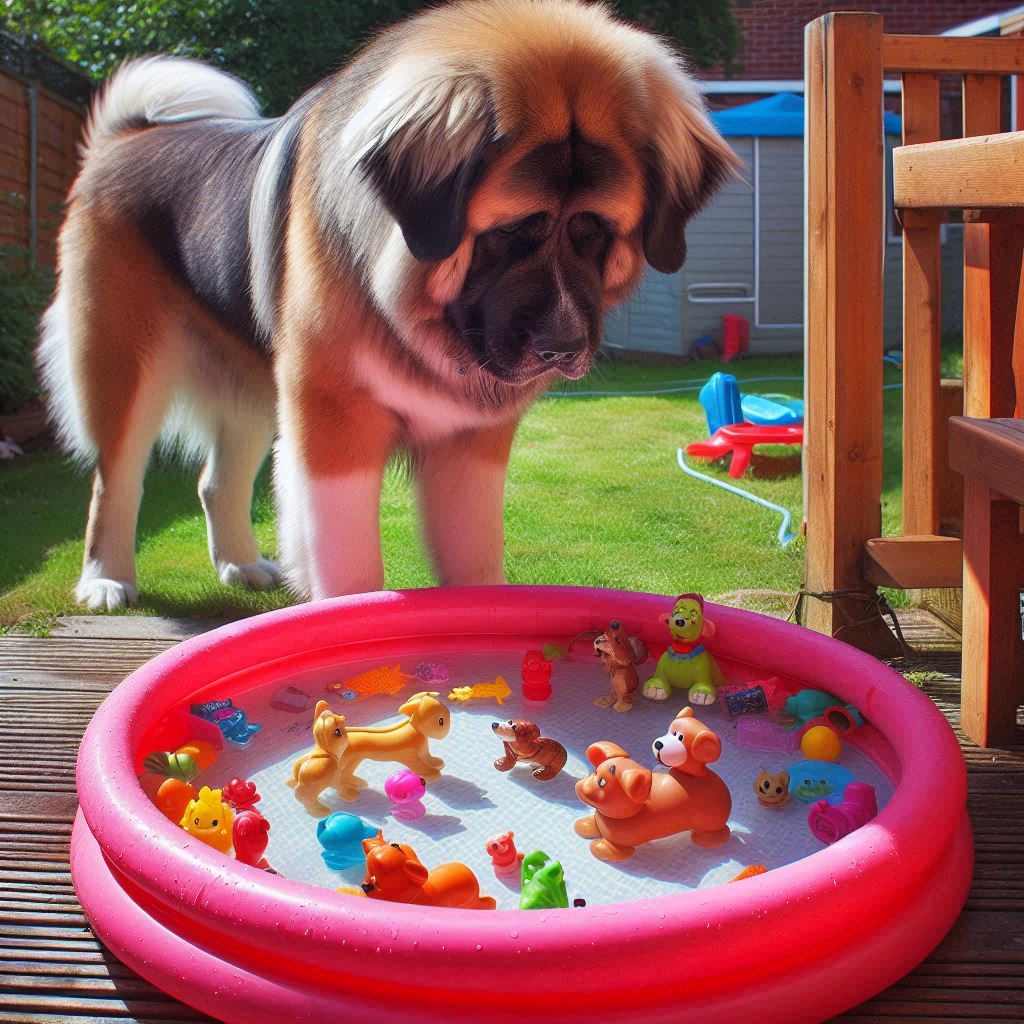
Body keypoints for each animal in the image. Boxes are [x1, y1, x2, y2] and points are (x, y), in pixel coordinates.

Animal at [39, 0, 741, 606]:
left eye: (594, 229)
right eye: (512, 231)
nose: (562, 347)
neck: (412, 317)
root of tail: (127, 138)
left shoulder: (471, 442)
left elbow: (473, 554)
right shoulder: (331, 421)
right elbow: (348, 560)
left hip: (251, 380)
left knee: (216, 481)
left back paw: (241, 564)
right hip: (123, 366)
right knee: (115, 478)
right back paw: (106, 580)